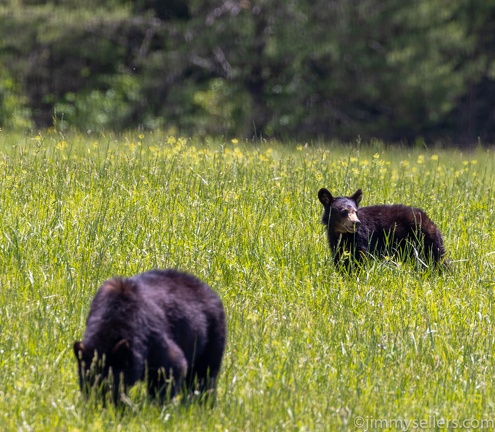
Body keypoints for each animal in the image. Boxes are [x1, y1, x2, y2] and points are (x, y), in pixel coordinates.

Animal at [72, 268, 228, 406]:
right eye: (86, 382)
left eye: (111, 384)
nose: (98, 404)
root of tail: (209, 290)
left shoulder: (152, 337)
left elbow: (172, 366)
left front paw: (156, 407)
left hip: (212, 334)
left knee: (204, 374)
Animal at [320, 188, 448, 268]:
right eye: (344, 211)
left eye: (355, 211)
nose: (356, 223)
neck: (342, 234)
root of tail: (429, 220)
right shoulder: (335, 241)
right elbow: (339, 256)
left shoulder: (361, 238)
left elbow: (359, 257)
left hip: (424, 239)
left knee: (436, 258)